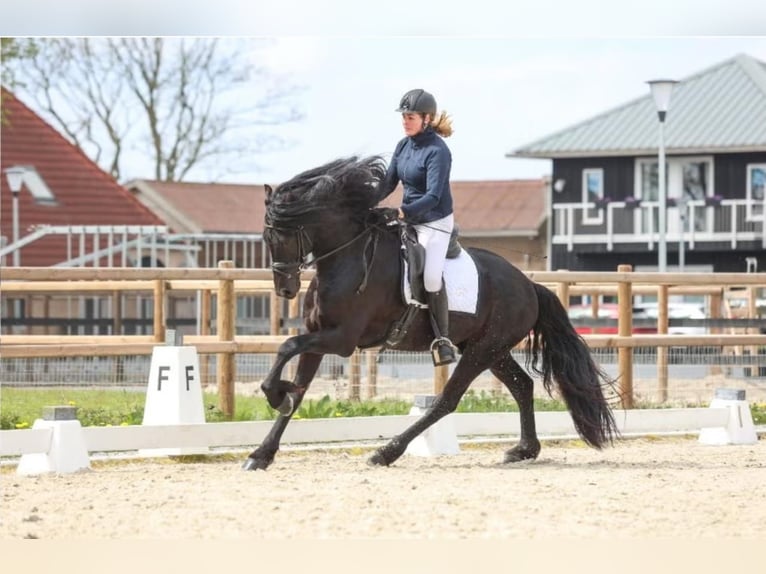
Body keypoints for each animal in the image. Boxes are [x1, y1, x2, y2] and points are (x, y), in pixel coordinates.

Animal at [243, 155, 619, 470]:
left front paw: (276, 394)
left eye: (281, 237)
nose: (285, 289)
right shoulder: (319, 335)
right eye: (265, 237)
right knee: (522, 386)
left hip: (482, 350)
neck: (345, 259)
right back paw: (524, 450)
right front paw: (262, 452)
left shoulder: (342, 340)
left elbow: (286, 346)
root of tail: (529, 285)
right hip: (491, 349)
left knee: (447, 400)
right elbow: (299, 386)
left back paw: (387, 452)